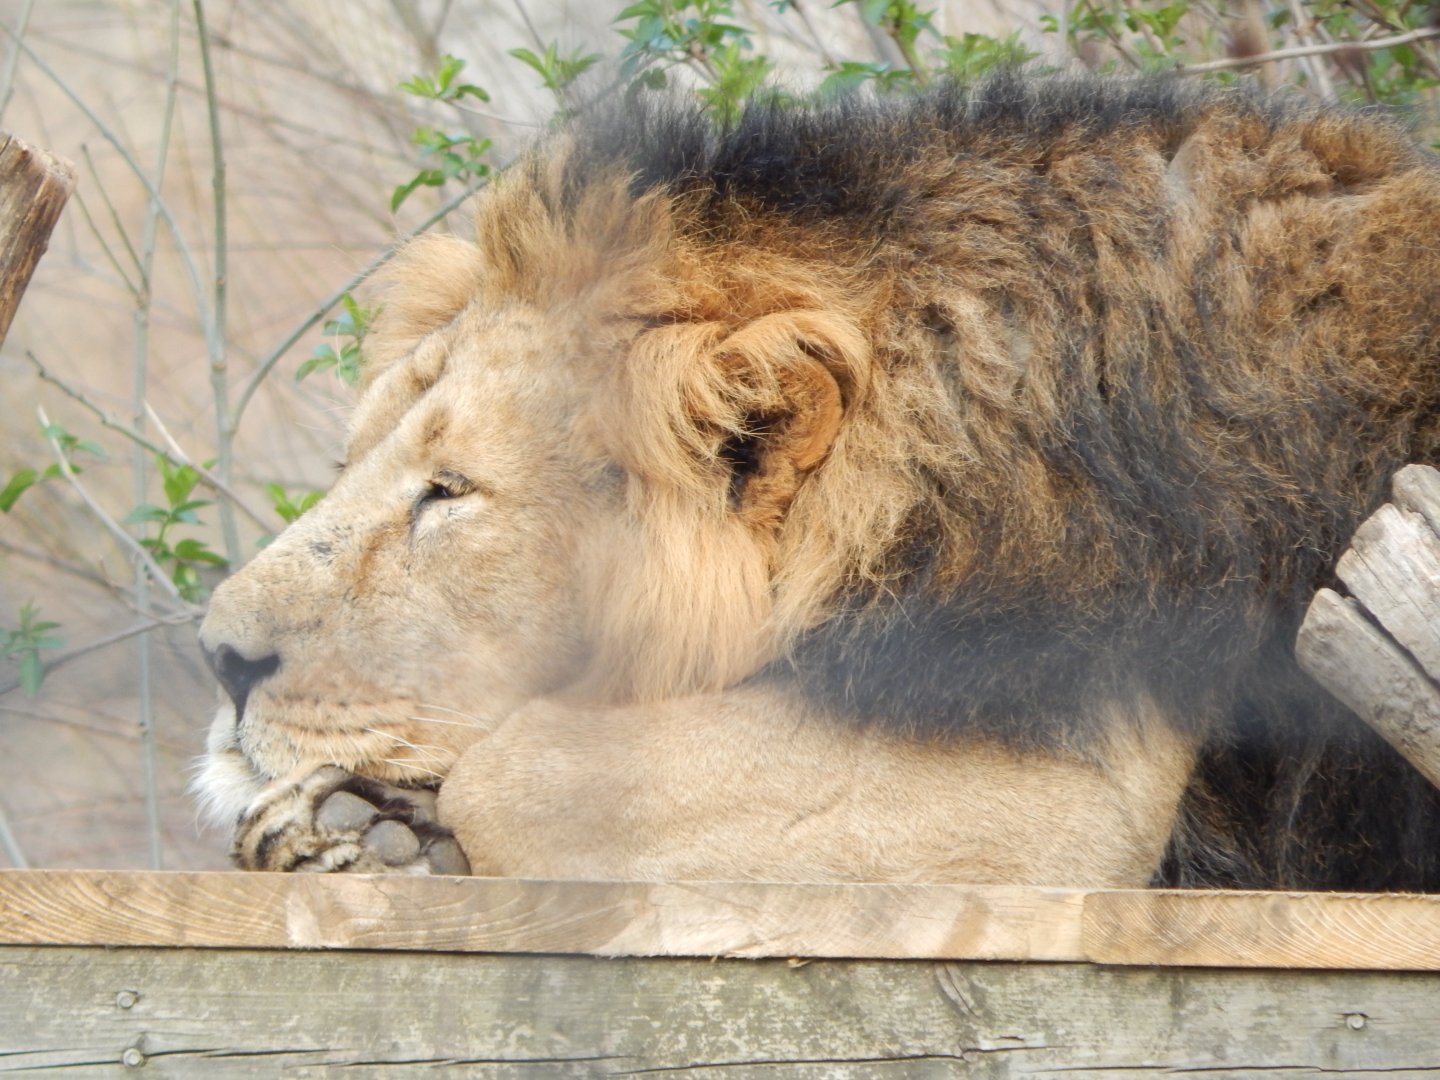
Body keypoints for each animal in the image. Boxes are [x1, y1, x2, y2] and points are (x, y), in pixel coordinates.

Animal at [196, 74, 1440, 889]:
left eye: (449, 492)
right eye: (359, 463)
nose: (217, 658)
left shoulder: (1074, 795)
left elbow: (517, 772)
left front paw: (399, 834)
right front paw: (348, 828)